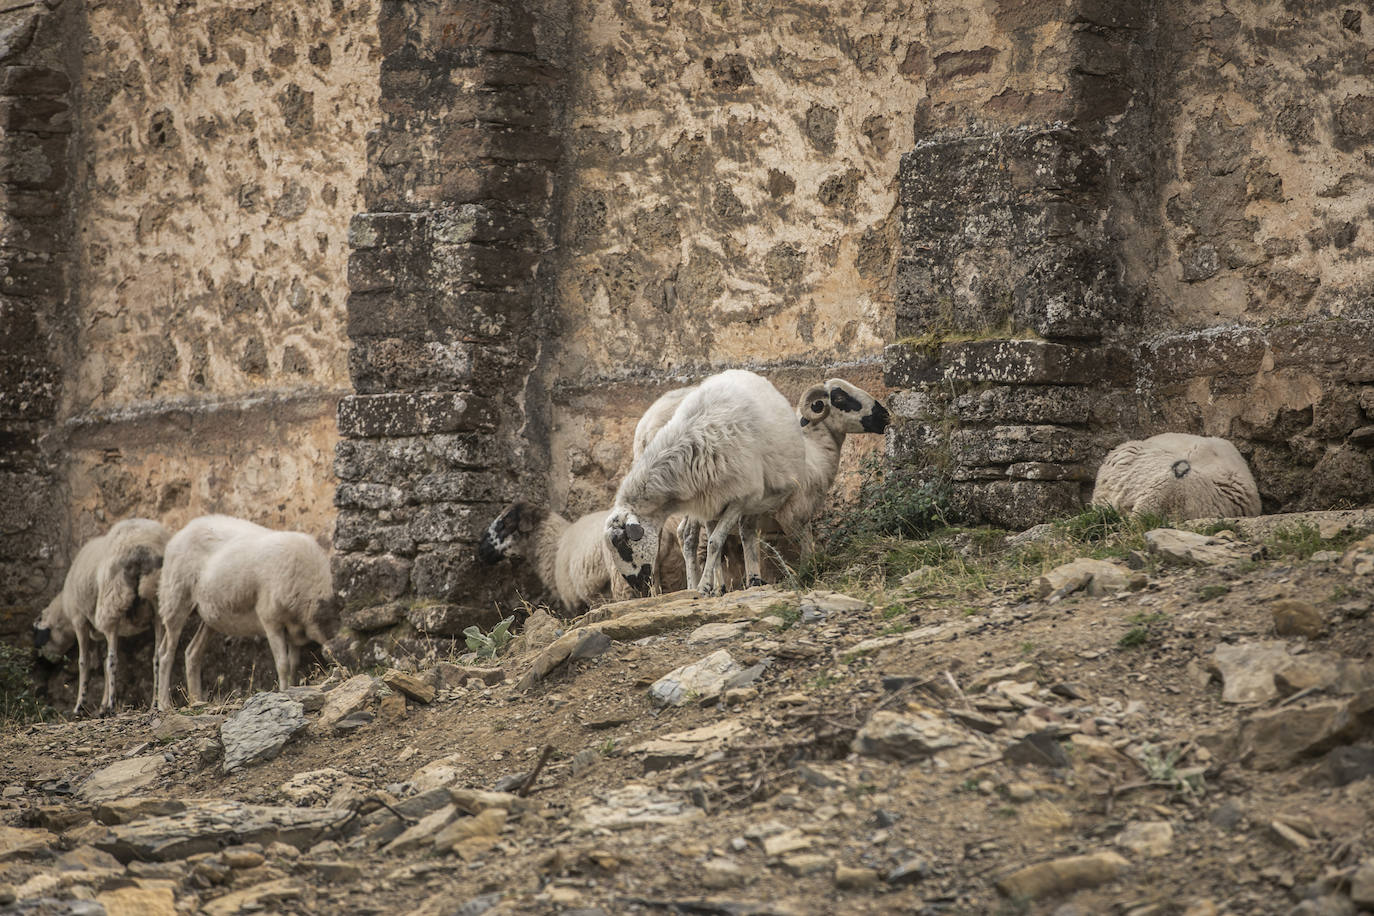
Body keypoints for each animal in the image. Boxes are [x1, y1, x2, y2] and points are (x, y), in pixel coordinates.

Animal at [31, 516, 170, 714]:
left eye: (37, 634)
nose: (42, 662)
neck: (64, 611)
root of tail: (142, 548)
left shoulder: (80, 620)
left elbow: (85, 662)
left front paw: (80, 706)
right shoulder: (98, 630)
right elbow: (102, 663)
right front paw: (101, 703)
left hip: (112, 604)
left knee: (113, 660)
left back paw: (111, 706)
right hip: (157, 607)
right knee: (157, 656)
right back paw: (155, 703)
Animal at [155, 516, 335, 708]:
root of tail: (184, 529)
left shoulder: (294, 629)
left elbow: (294, 664)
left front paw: (294, 688)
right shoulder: (271, 620)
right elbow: (283, 664)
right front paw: (284, 691)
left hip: (209, 617)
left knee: (192, 653)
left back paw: (197, 700)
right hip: (175, 600)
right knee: (166, 654)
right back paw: (164, 704)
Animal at [480, 502, 692, 615]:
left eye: (505, 524)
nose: (480, 549)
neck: (554, 545)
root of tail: (668, 527)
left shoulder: (575, 601)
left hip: (626, 578)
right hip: (673, 570)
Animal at [601, 368, 802, 598]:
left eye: (623, 546)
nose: (639, 586)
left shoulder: (740, 497)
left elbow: (715, 542)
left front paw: (706, 587)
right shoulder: (708, 501)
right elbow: (712, 542)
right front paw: (710, 587)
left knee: (744, 531)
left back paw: (751, 580)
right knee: (698, 534)